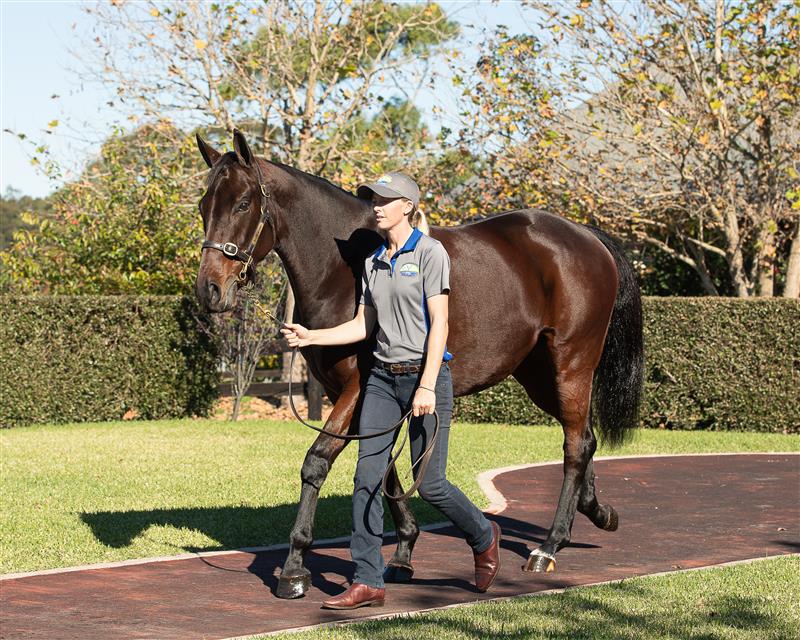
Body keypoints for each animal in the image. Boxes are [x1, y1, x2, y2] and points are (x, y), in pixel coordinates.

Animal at [195, 129, 644, 599]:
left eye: (243, 203)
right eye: (204, 206)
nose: (210, 290)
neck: (343, 270)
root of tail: (587, 237)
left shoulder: (356, 388)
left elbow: (318, 460)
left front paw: (294, 568)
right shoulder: (359, 396)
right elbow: (383, 469)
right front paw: (404, 552)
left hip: (571, 364)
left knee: (574, 446)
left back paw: (549, 546)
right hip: (538, 375)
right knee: (585, 436)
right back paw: (597, 513)